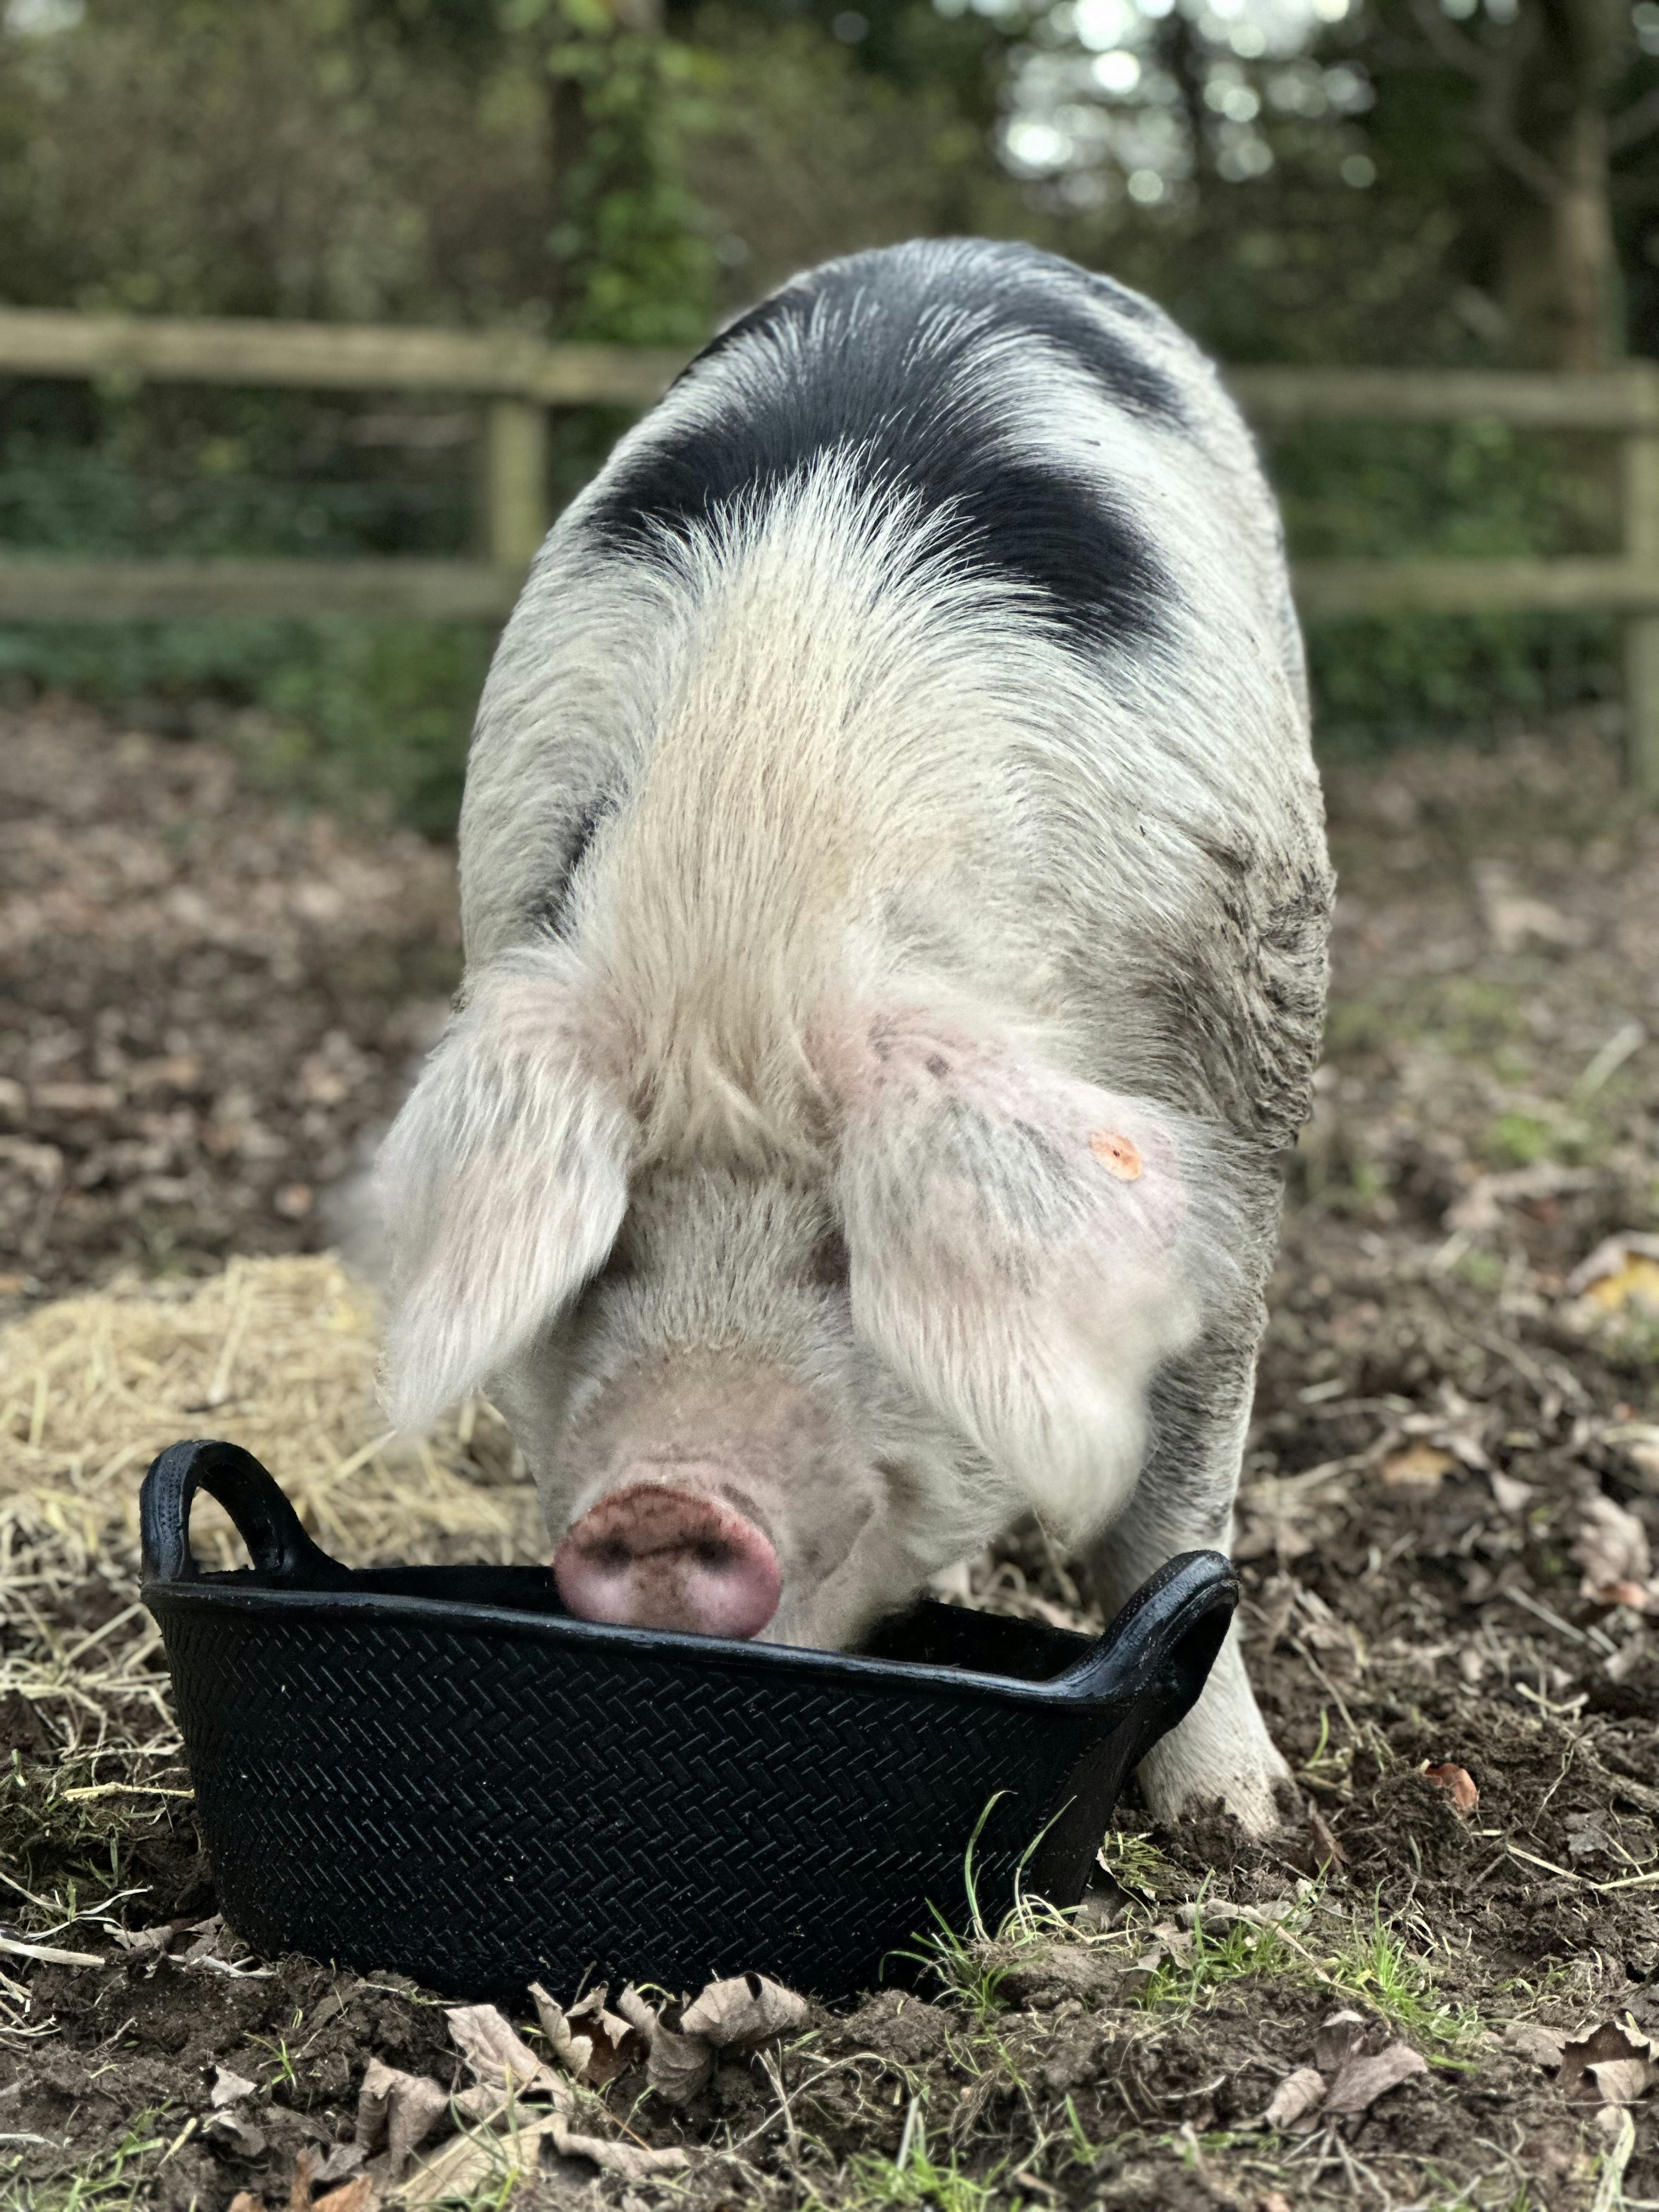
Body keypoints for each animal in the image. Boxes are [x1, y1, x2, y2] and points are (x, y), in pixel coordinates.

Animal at [373, 238, 1333, 1836]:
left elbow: (1176, 1508)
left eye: (855, 1251)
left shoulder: (1240, 1098)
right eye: (609, 1240)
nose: (665, 1500)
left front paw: (1240, 1822)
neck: (751, 926)